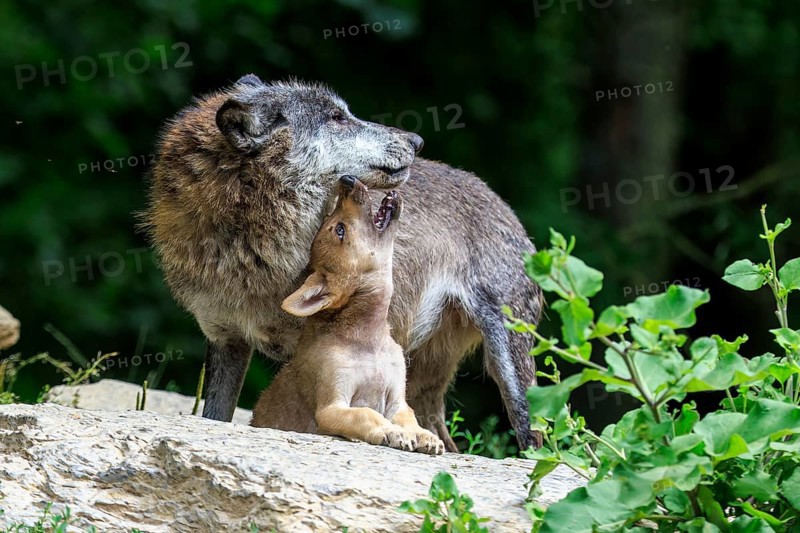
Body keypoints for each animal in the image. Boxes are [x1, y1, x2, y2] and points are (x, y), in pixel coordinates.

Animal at [144, 74, 543, 452]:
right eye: (336, 118)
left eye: (345, 113)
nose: (416, 141)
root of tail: (503, 204)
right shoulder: (227, 340)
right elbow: (217, 417)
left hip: (512, 369)